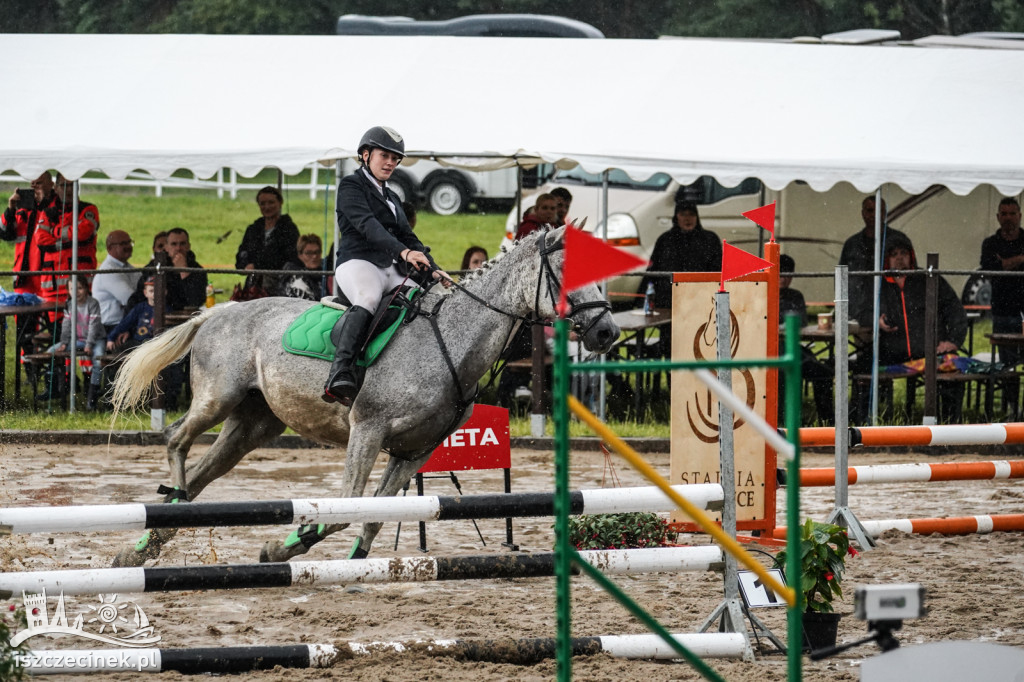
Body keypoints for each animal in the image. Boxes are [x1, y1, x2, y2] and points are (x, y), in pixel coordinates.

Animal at [108, 225, 614, 565]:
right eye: (567, 272)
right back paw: (162, 510)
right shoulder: (367, 430)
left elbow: (373, 514)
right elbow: (344, 509)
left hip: (253, 425)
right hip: (219, 397)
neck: (450, 339)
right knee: (176, 439)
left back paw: (142, 548)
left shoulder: (414, 451)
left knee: (200, 477)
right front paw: (282, 545)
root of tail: (219, 310)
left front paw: (350, 564)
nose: (607, 332)